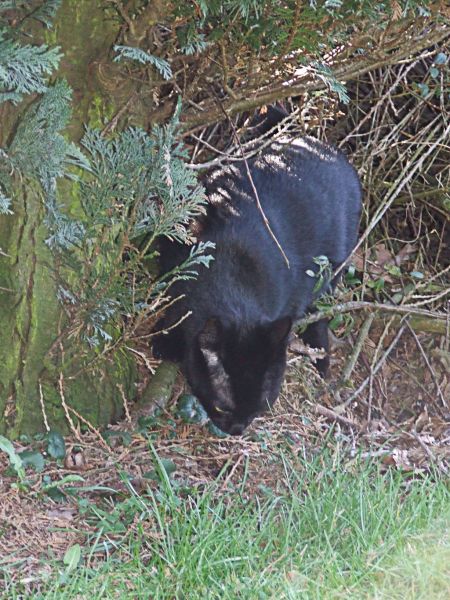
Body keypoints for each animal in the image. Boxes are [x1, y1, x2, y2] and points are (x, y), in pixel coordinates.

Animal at [153, 131, 360, 434]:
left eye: (258, 409)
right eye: (222, 407)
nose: (237, 429)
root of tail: (335, 154)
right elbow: (173, 304)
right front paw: (165, 340)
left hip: (329, 277)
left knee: (320, 315)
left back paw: (320, 359)